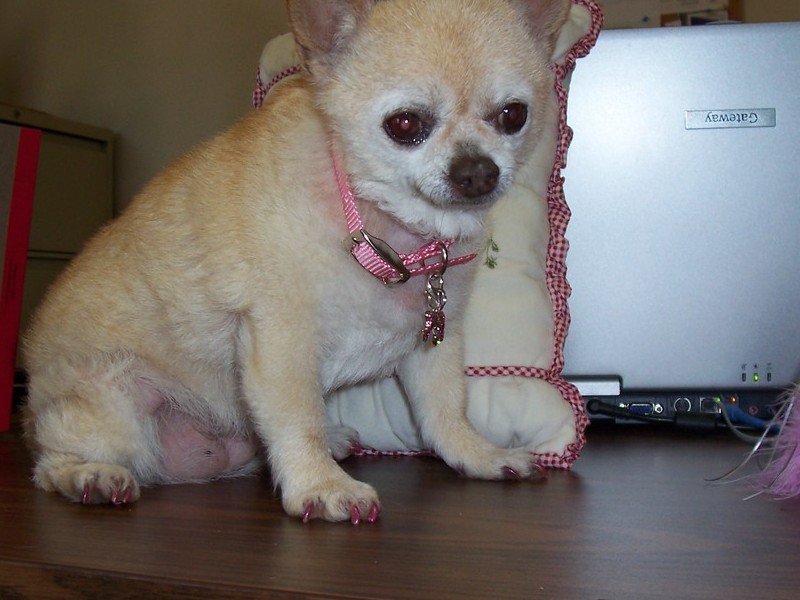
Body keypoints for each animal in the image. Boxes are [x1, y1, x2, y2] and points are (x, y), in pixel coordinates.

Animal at [21, 0, 572, 524]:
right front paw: (320, 486)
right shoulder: (282, 342)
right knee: (51, 464)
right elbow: (297, 416)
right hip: (118, 407)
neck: (374, 223)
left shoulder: (433, 342)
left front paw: (477, 455)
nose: (477, 170)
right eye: (405, 125)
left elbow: (446, 410)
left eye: (513, 116)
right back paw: (90, 475)